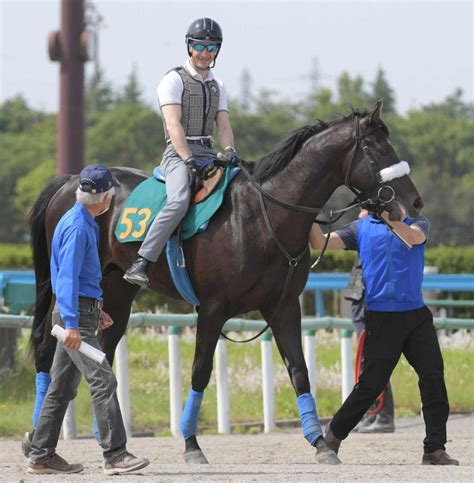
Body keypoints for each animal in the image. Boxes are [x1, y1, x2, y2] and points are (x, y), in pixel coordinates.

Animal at [28, 101, 422, 466]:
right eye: (379, 149)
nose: (413, 201)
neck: (261, 217)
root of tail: (69, 181)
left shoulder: (283, 308)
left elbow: (299, 372)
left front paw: (321, 444)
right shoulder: (212, 310)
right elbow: (200, 372)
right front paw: (191, 444)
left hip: (116, 295)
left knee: (102, 356)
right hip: (68, 290)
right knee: (49, 349)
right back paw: (38, 440)